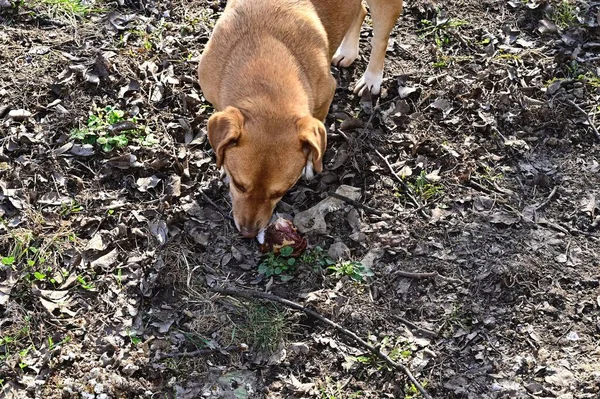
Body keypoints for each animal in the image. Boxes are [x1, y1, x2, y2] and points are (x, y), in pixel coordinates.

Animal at [198, 0, 404, 238]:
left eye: (279, 192)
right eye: (239, 185)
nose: (249, 233)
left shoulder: (325, 95)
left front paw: (310, 163)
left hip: (385, 7)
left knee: (380, 39)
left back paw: (371, 78)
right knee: (360, 11)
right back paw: (347, 51)